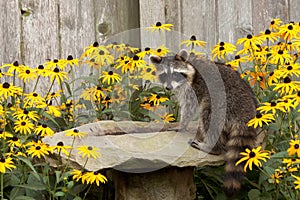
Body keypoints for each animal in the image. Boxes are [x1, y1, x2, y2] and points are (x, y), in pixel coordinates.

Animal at [150, 49, 258, 197]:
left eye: (176, 73)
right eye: (164, 75)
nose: (168, 87)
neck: (190, 66)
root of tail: (245, 111)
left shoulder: (193, 88)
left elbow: (189, 107)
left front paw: (181, 124)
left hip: (222, 103)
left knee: (207, 115)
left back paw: (211, 147)